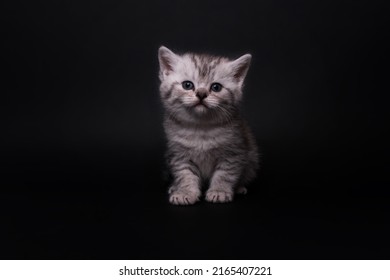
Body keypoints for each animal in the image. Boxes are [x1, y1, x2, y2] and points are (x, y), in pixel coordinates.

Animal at [157, 44, 258, 205]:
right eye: (187, 85)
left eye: (216, 87)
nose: (201, 94)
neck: (201, 127)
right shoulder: (178, 154)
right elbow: (185, 174)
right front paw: (185, 192)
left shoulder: (234, 153)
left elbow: (225, 174)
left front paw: (219, 191)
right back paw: (174, 186)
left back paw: (239, 187)